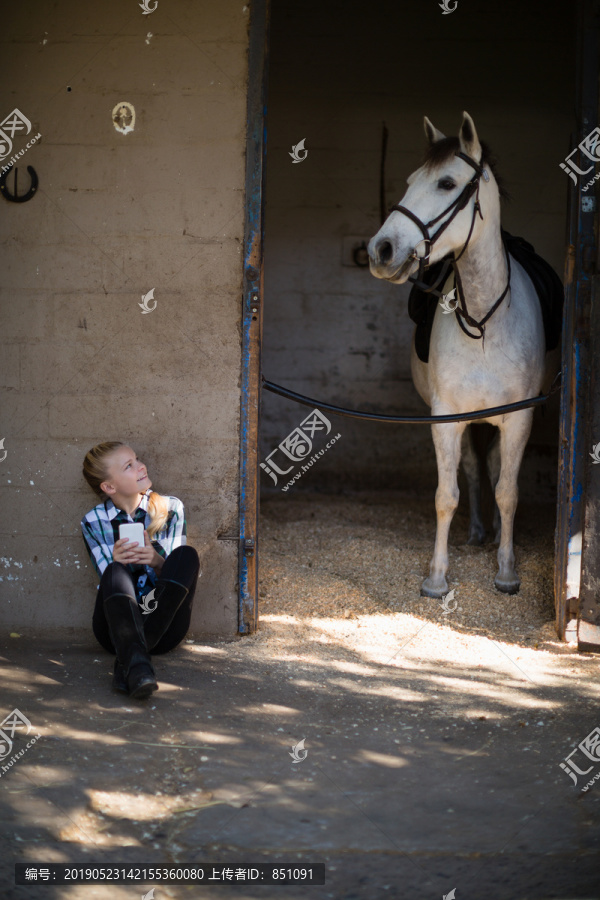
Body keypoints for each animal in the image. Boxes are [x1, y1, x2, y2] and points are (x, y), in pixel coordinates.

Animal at [368, 110, 560, 596]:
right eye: (411, 180)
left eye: (447, 183)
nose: (381, 249)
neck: (485, 325)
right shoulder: (446, 417)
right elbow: (446, 494)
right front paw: (437, 577)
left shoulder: (519, 418)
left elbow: (508, 491)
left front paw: (507, 571)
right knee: (474, 470)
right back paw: (477, 532)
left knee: (492, 470)